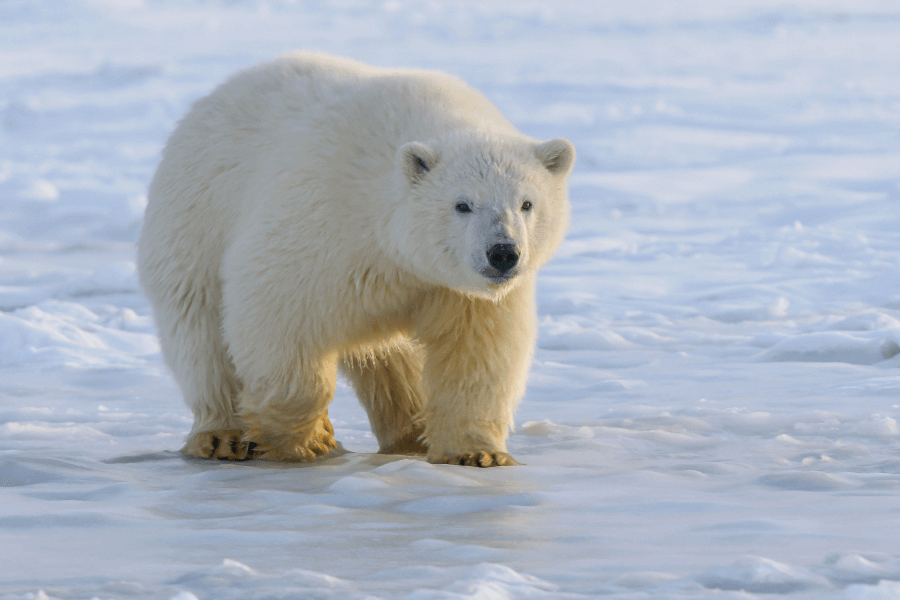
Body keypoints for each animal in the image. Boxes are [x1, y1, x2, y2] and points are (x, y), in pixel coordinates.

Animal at [137, 52, 574, 467]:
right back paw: (221, 436)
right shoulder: (322, 220)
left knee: (391, 360)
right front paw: (308, 440)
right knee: (201, 334)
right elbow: (275, 312)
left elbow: (477, 353)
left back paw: (410, 433)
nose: (503, 253)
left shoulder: (456, 289)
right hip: (195, 221)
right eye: (462, 204)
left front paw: (477, 453)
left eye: (527, 203)